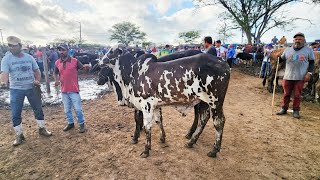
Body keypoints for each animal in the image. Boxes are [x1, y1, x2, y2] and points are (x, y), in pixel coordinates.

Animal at [100, 46, 230, 158]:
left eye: (111, 52)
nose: (100, 61)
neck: (133, 73)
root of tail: (223, 62)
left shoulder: (146, 105)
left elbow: (147, 126)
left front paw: (146, 149)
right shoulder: (156, 105)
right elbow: (159, 120)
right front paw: (162, 139)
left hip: (215, 101)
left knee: (219, 122)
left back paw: (214, 150)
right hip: (203, 101)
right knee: (203, 119)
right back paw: (191, 142)